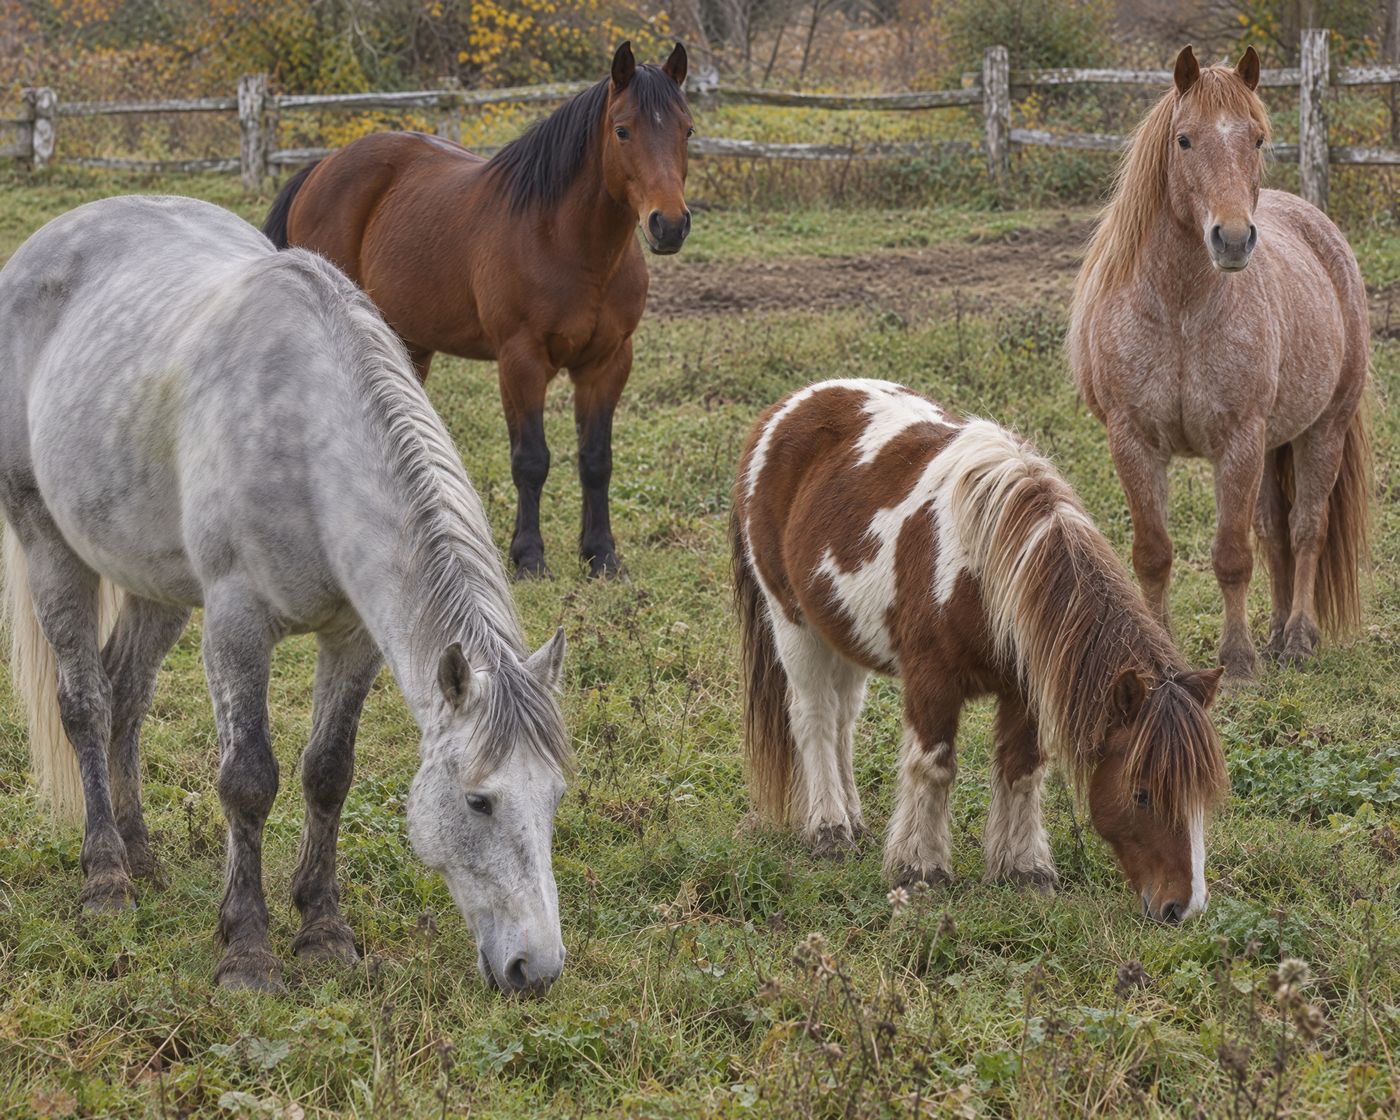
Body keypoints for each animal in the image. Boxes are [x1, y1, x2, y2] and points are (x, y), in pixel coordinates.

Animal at [0, 196, 571, 994]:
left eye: (554, 796)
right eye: (477, 800)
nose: (537, 969)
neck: (308, 435)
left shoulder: (354, 638)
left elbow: (328, 773)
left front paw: (323, 931)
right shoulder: (237, 624)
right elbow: (248, 779)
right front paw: (247, 951)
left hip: (156, 584)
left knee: (126, 696)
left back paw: (142, 856)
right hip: (49, 545)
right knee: (86, 705)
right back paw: (107, 878)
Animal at [262, 41, 694, 580]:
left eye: (687, 129)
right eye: (623, 129)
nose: (669, 225)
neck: (566, 240)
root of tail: (320, 170)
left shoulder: (608, 362)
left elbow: (596, 459)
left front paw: (601, 556)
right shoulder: (520, 361)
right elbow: (531, 459)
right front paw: (528, 558)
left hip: (408, 340)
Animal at [732, 379, 1228, 922]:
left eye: (1202, 795)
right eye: (1141, 794)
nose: (1184, 907)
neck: (989, 574)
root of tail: (787, 407)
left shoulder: (1024, 690)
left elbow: (1022, 769)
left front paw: (1024, 871)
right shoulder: (931, 683)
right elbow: (933, 767)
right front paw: (920, 869)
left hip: (842, 633)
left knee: (843, 720)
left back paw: (854, 819)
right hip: (793, 624)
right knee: (815, 720)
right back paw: (830, 830)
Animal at [1067, 47, 1371, 682]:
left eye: (1256, 138)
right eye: (1184, 140)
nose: (1232, 239)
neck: (1181, 311)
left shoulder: (1237, 441)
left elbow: (1232, 555)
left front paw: (1237, 661)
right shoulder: (1133, 441)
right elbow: (1154, 555)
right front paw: (1161, 652)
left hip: (1321, 430)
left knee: (1306, 528)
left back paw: (1297, 638)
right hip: (1276, 442)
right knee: (1276, 530)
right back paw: (1277, 631)